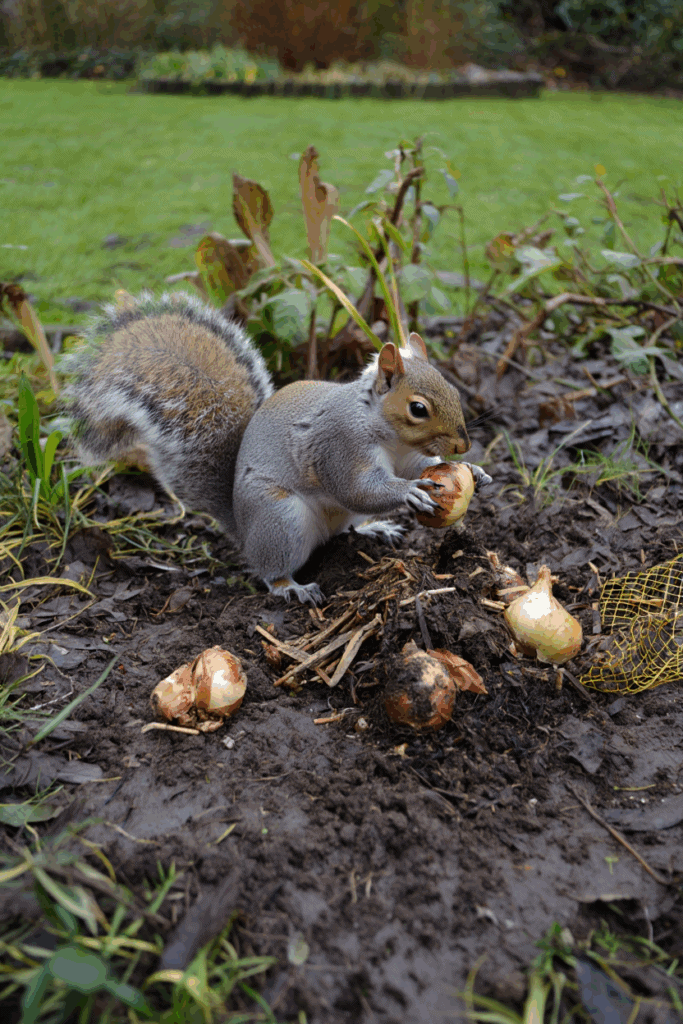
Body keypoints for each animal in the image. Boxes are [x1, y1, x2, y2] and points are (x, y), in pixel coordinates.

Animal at [64, 290, 490, 604]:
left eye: (453, 390)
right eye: (418, 409)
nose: (463, 443)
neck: (387, 432)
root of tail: (242, 527)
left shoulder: (407, 456)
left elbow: (420, 466)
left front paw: (474, 471)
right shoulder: (339, 445)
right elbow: (357, 488)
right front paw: (410, 492)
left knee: (344, 530)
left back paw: (374, 530)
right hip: (281, 519)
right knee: (271, 570)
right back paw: (293, 588)